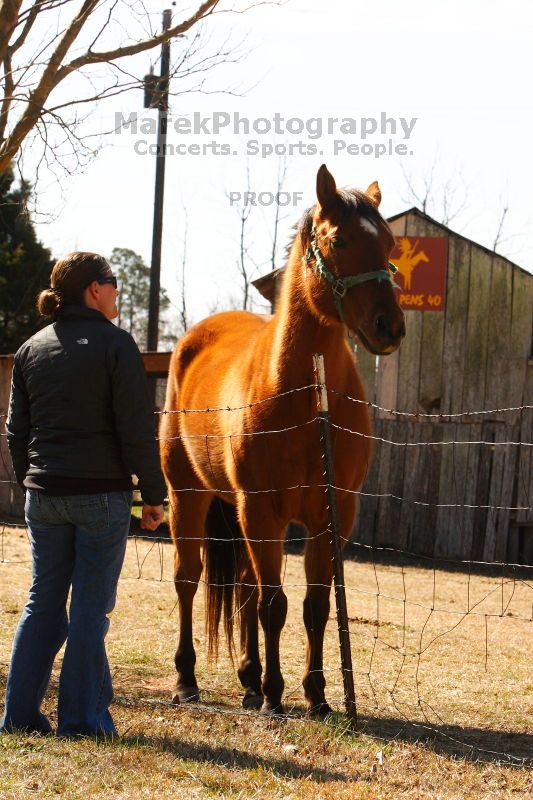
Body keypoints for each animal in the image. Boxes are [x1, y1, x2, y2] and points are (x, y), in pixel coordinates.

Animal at [160, 166, 406, 716]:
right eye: (339, 240)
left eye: (390, 244)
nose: (390, 326)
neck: (306, 394)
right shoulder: (262, 508)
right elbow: (276, 604)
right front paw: (277, 694)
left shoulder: (332, 514)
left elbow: (315, 606)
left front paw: (316, 696)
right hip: (188, 495)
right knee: (189, 579)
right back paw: (189, 679)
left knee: (246, 589)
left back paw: (249, 680)